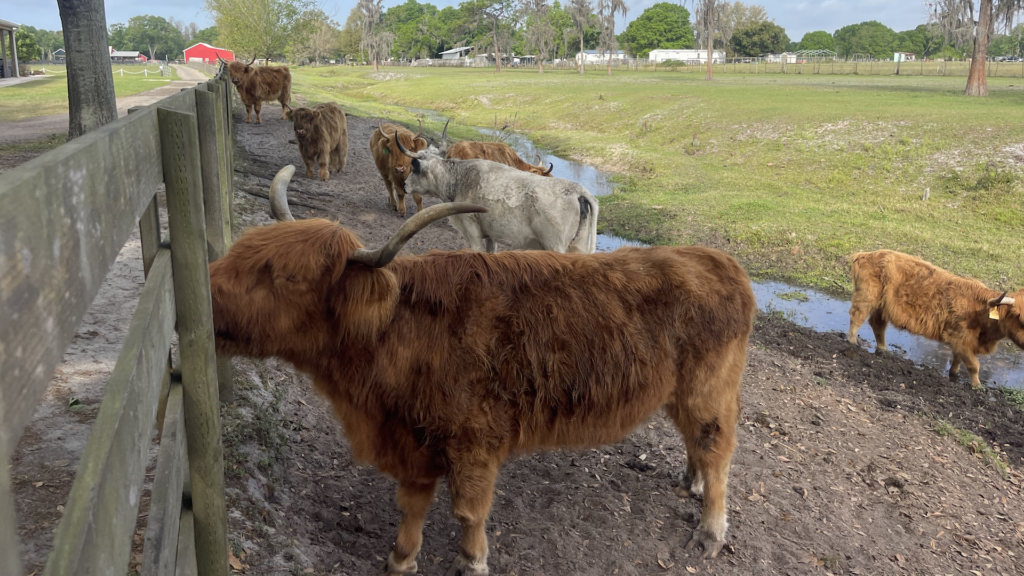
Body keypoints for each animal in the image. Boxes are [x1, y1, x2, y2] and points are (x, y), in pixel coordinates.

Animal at [207, 172, 753, 569]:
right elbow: (411, 507)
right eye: (246, 250)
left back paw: (709, 531)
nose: (206, 294)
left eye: (288, 276)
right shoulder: (413, 442)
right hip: (680, 392)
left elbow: (468, 512)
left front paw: (472, 562)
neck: (395, 330)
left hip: (708, 389)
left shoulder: (474, 442)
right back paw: (690, 483)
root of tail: (718, 261)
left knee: (717, 448)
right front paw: (401, 560)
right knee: (696, 442)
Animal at [847, 247, 1024, 385]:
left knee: (878, 325)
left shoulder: (963, 341)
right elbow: (974, 365)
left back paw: (883, 349)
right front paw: (977, 386)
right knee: (857, 317)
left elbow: (958, 358)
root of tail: (865, 254)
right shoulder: (959, 337)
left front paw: (954, 374)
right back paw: (852, 342)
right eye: (1019, 318)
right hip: (866, 296)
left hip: (881, 306)